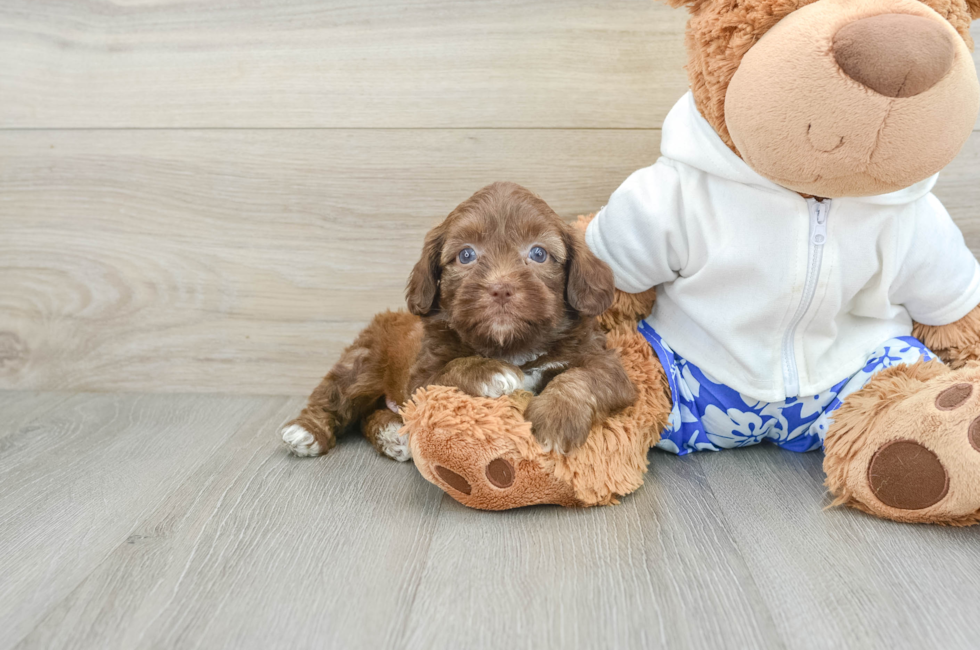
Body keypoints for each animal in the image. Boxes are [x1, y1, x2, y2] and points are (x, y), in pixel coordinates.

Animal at [280, 180, 640, 458]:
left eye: (539, 253)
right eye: (466, 255)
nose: (500, 288)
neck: (512, 346)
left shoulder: (606, 365)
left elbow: (583, 377)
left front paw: (556, 417)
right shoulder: (420, 380)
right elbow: (451, 369)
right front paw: (490, 372)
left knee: (370, 413)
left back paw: (393, 435)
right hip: (363, 361)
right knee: (335, 394)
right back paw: (306, 431)